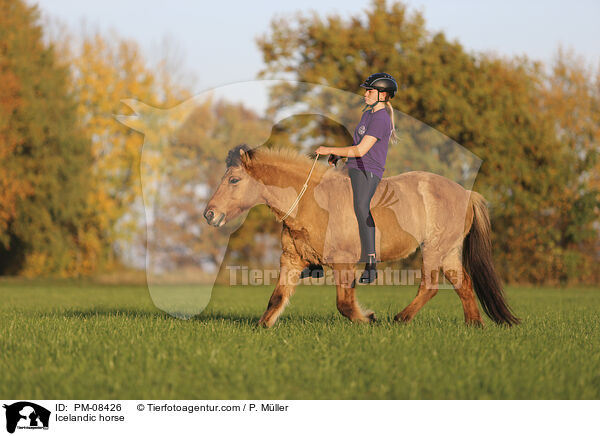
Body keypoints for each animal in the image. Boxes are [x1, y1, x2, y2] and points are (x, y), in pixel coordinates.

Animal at [204, 145, 516, 328]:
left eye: (234, 180)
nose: (209, 214)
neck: (312, 202)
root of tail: (467, 194)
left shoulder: (344, 263)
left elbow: (344, 304)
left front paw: (368, 318)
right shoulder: (291, 260)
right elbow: (276, 299)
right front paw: (263, 326)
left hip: (434, 249)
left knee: (430, 286)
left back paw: (400, 319)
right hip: (448, 252)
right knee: (464, 285)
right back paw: (474, 325)